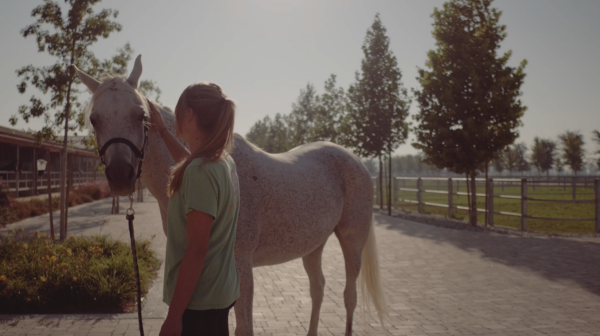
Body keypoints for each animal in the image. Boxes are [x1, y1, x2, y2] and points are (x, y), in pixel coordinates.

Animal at [75, 55, 386, 336]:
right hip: (314, 244)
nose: (120, 175)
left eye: (141, 116)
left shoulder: (241, 267)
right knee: (318, 288)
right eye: (94, 119)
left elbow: (244, 327)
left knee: (349, 296)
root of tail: (356, 160)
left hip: (352, 240)